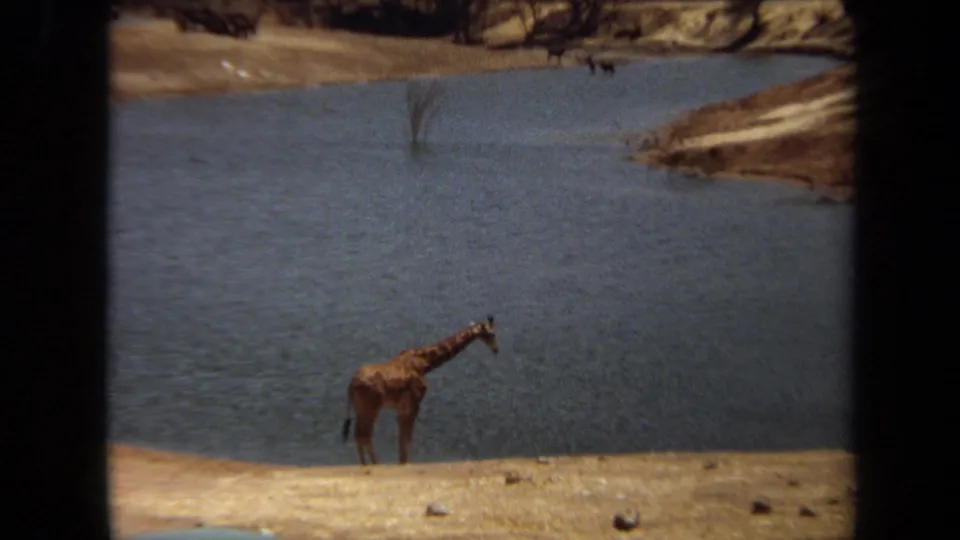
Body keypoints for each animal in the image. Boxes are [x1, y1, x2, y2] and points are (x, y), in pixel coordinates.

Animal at [341, 316, 499, 466]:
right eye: (492, 333)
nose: (496, 350)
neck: (425, 363)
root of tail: (351, 383)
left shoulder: (403, 408)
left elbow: (403, 439)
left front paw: (402, 463)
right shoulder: (414, 403)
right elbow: (407, 439)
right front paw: (404, 464)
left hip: (361, 408)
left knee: (359, 434)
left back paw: (367, 465)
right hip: (371, 408)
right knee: (364, 434)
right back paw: (374, 465)